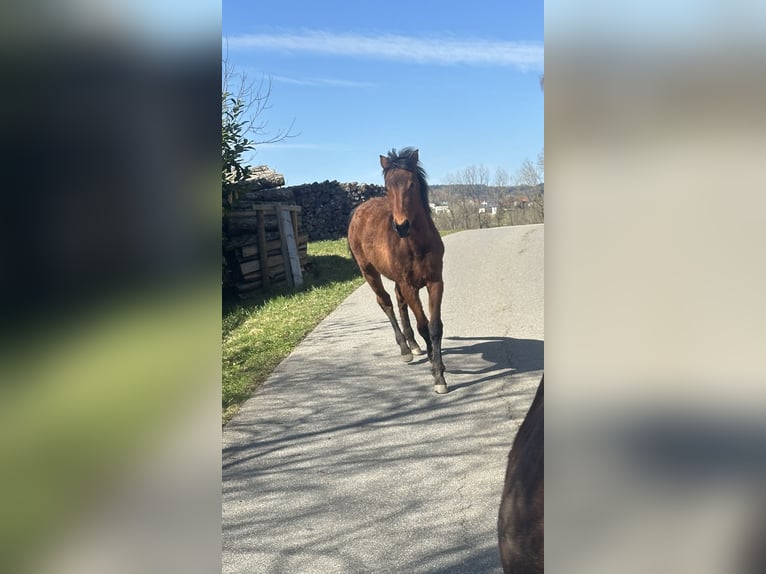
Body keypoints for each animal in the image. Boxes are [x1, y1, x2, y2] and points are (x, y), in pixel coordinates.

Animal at [347, 148, 448, 394]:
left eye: (412, 184)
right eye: (387, 187)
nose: (401, 226)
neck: (416, 244)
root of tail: (357, 212)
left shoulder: (435, 282)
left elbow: (434, 326)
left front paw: (440, 370)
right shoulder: (409, 285)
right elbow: (423, 325)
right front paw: (435, 369)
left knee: (399, 303)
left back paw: (413, 345)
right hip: (369, 273)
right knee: (386, 302)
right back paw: (405, 348)